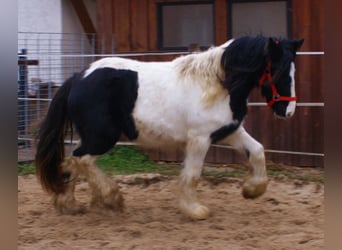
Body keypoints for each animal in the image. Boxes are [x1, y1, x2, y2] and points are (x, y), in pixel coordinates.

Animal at [34, 35, 304, 219]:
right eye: (279, 70)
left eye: (293, 69)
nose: (288, 111)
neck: (218, 84)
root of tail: (78, 78)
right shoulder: (200, 139)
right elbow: (193, 175)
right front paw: (195, 210)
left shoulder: (229, 132)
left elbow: (257, 151)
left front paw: (251, 190)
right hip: (102, 137)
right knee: (81, 159)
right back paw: (112, 198)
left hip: (93, 136)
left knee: (71, 161)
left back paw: (69, 204)